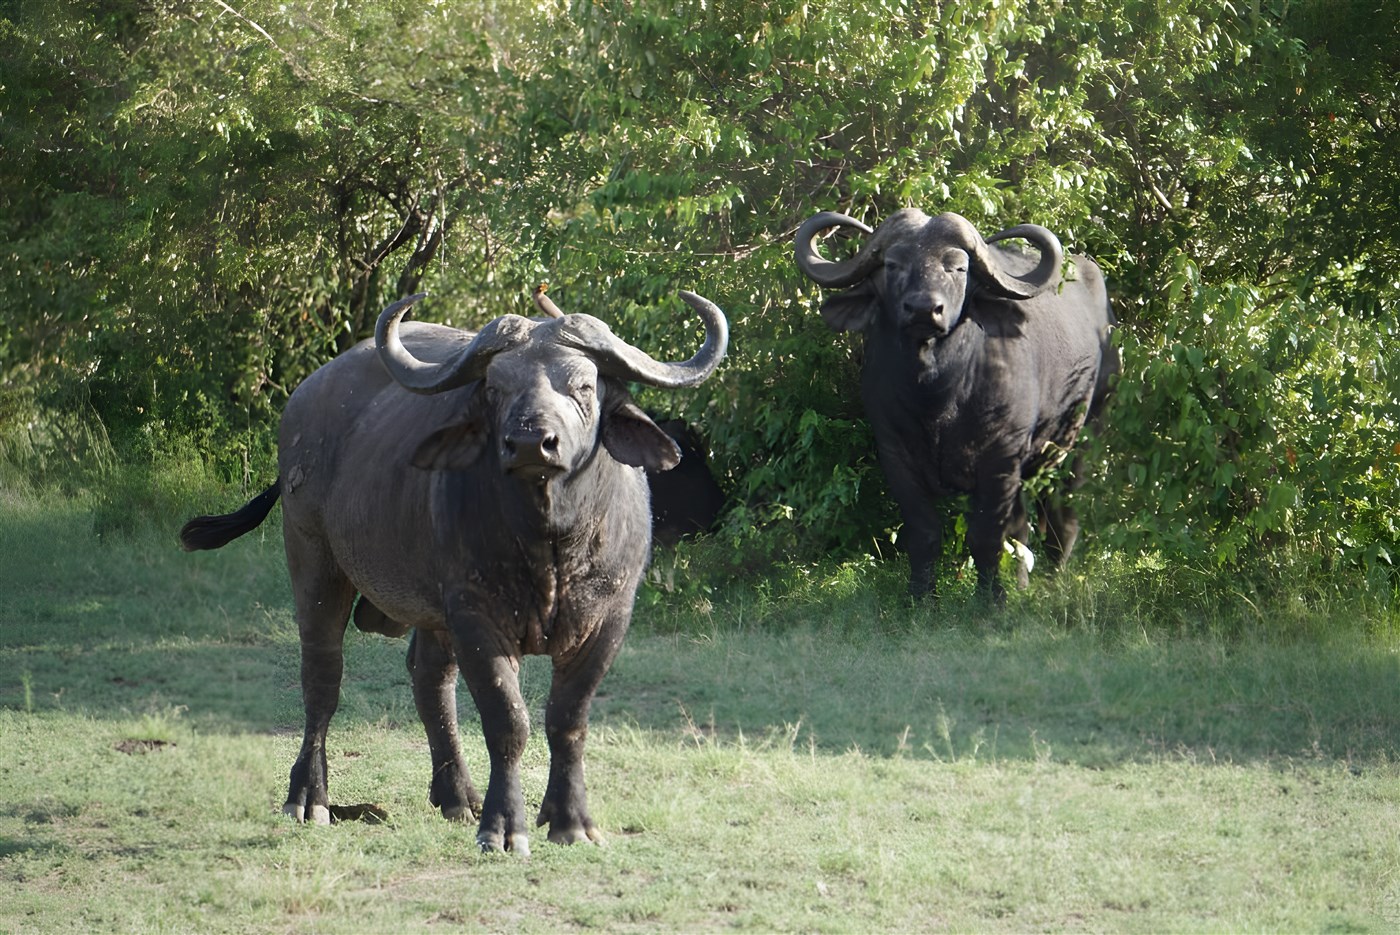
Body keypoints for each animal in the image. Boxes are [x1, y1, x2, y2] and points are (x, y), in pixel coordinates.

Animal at [181, 289, 727, 852]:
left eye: (582, 385)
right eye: (496, 388)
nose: (530, 442)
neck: (549, 546)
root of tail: (302, 400)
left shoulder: (607, 620)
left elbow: (568, 720)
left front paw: (570, 820)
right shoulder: (475, 616)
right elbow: (508, 720)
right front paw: (504, 827)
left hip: (430, 606)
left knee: (428, 678)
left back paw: (456, 795)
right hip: (314, 559)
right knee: (322, 677)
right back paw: (309, 797)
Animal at [795, 208, 1117, 601]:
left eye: (958, 268)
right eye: (893, 264)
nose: (923, 309)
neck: (938, 398)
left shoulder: (1001, 456)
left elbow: (987, 537)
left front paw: (991, 601)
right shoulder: (896, 456)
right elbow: (924, 534)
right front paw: (920, 598)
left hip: (1084, 434)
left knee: (1061, 515)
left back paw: (1053, 580)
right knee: (1022, 528)